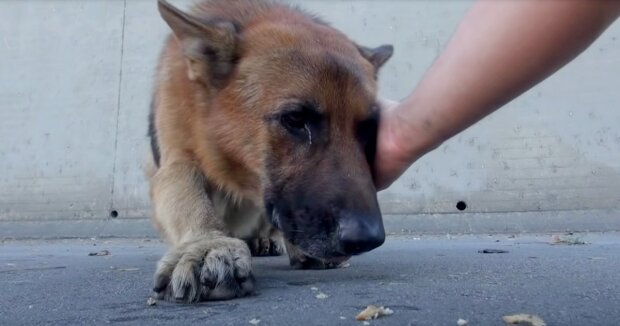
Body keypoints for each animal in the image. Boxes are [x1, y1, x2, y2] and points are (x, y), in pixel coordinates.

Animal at [147, 0, 392, 304]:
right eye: (296, 119)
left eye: (369, 127)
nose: (367, 239)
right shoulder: (175, 161)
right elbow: (189, 197)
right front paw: (207, 244)